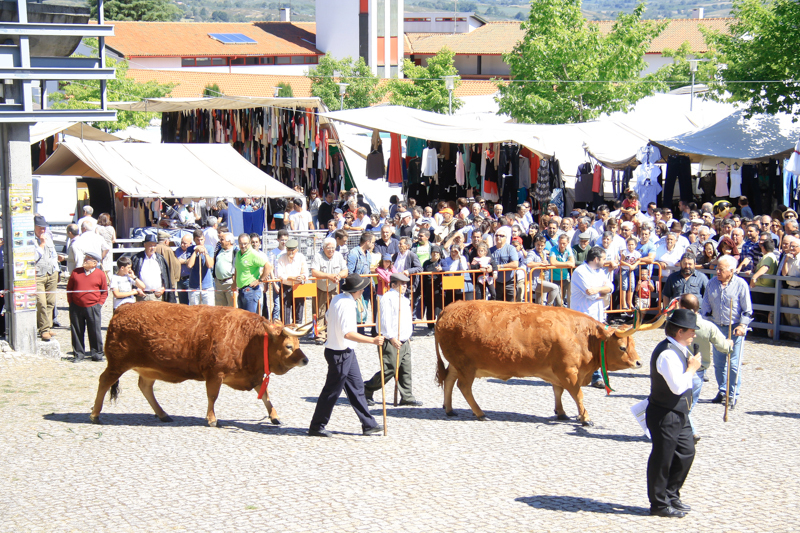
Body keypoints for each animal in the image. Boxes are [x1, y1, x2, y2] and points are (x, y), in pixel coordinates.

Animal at [89, 302, 310, 426]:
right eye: (289, 346)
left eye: (298, 344)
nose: (305, 359)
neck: (248, 339)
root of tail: (122, 308)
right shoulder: (214, 373)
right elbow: (212, 396)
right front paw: (212, 419)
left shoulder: (252, 376)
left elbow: (266, 397)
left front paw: (274, 416)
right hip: (117, 363)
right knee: (104, 381)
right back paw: (95, 414)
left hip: (148, 369)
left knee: (145, 387)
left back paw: (162, 414)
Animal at [434, 302, 660, 426]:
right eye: (622, 347)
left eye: (633, 344)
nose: (639, 362)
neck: (582, 336)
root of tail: (450, 308)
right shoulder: (569, 371)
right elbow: (578, 395)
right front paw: (585, 418)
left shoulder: (558, 373)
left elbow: (558, 391)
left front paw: (561, 413)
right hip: (466, 365)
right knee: (463, 386)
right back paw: (480, 413)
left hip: (457, 363)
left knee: (449, 380)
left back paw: (450, 409)